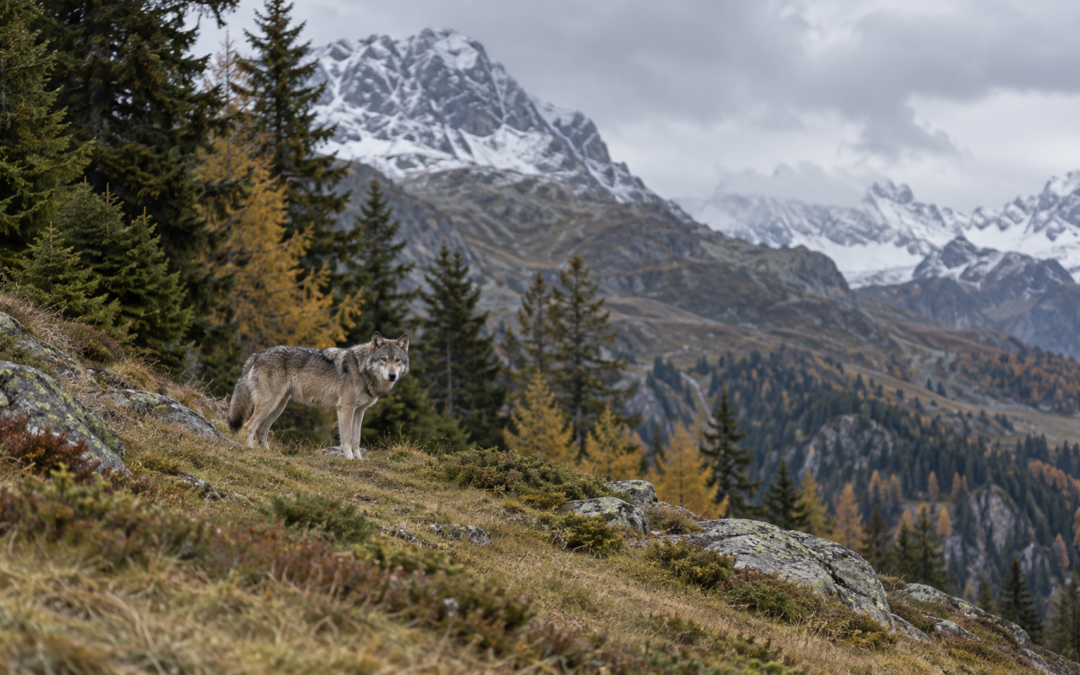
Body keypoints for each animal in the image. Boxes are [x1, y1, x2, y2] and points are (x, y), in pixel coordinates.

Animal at [227, 332, 409, 459]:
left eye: (397, 360)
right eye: (384, 359)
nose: (392, 375)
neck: (361, 369)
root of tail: (256, 355)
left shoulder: (359, 411)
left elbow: (356, 439)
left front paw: (359, 459)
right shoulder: (346, 408)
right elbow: (347, 437)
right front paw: (349, 458)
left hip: (278, 407)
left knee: (261, 430)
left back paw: (268, 452)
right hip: (269, 403)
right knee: (249, 426)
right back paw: (250, 449)